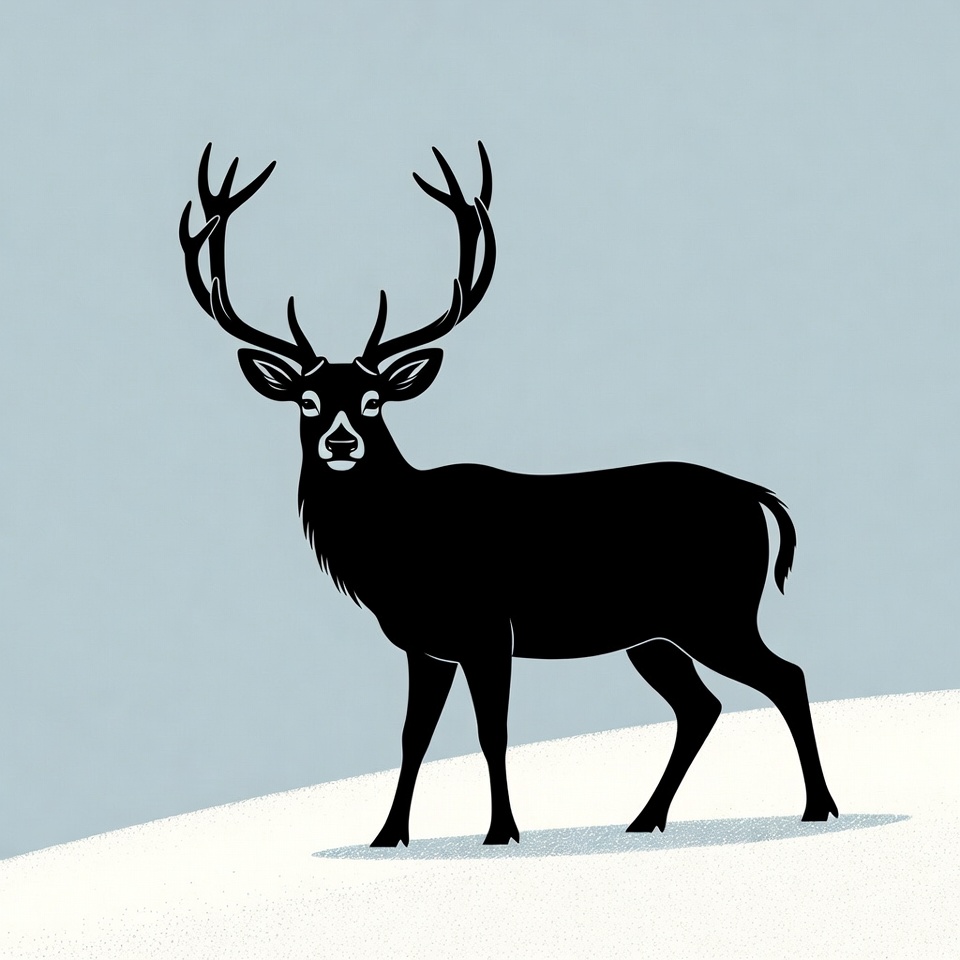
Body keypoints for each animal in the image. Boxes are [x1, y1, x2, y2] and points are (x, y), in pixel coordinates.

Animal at [179, 141, 838, 846]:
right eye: (307, 400)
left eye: (373, 400)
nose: (340, 443)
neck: (401, 546)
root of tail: (756, 495)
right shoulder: (425, 644)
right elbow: (413, 736)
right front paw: (388, 836)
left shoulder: (490, 627)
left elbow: (490, 732)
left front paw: (502, 832)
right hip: (657, 634)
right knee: (702, 705)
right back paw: (645, 819)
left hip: (717, 611)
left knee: (785, 677)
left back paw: (819, 807)